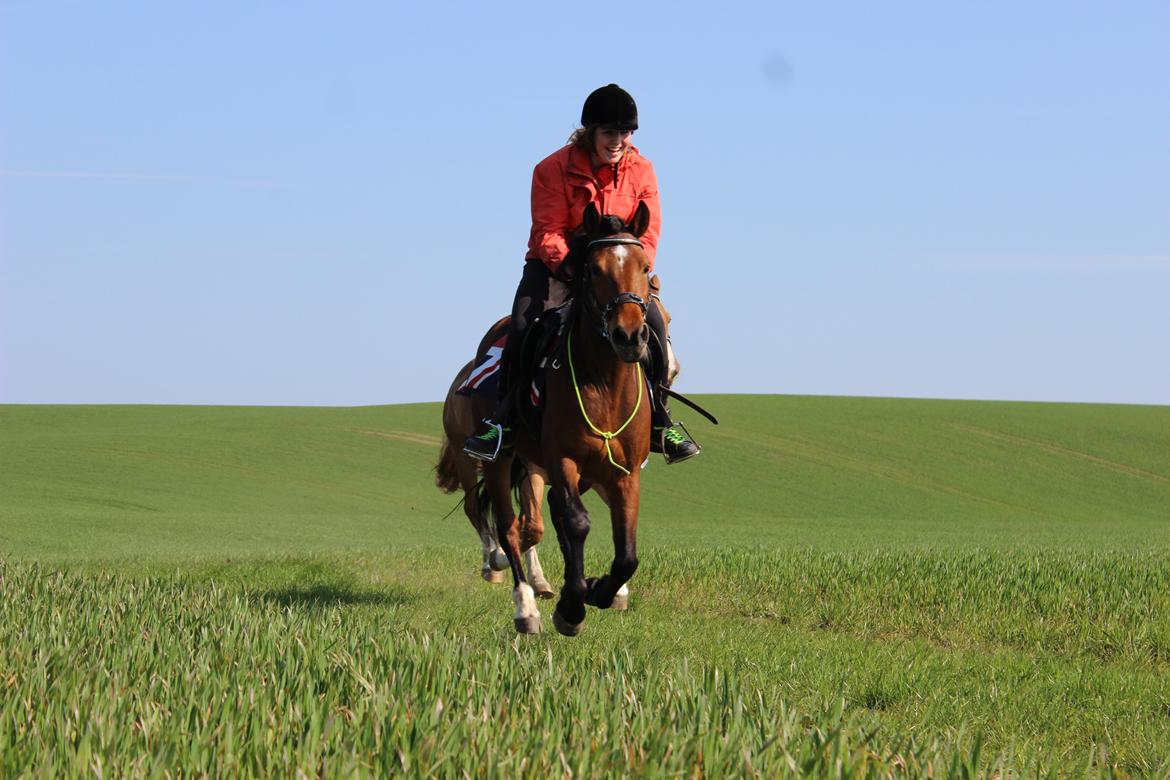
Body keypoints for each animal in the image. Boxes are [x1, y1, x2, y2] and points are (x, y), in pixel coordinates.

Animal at [477, 201, 659, 636]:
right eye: (593, 269)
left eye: (645, 266)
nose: (630, 335)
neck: (605, 384)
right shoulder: (563, 459)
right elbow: (577, 523)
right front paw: (572, 608)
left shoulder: (626, 472)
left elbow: (627, 553)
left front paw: (597, 590)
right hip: (504, 462)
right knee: (510, 528)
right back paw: (526, 607)